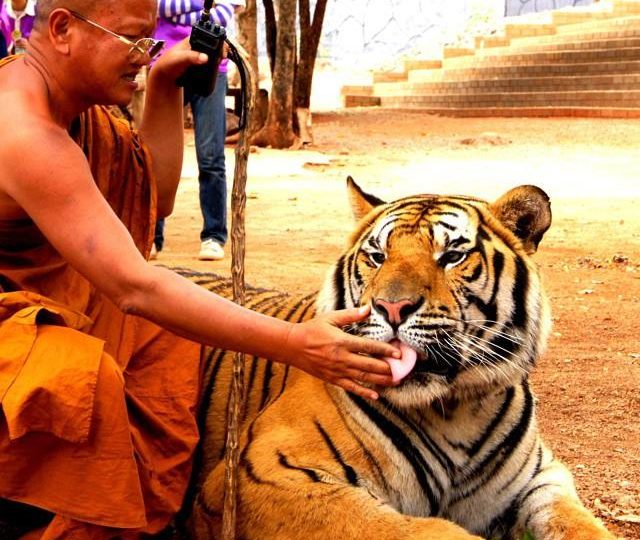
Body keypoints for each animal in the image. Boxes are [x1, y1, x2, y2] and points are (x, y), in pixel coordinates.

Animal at [180, 177, 616, 540]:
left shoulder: (541, 480)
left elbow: (579, 525)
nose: (391, 307)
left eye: (452, 256)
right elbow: (416, 531)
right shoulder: (263, 473)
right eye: (377, 256)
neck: (456, 412)